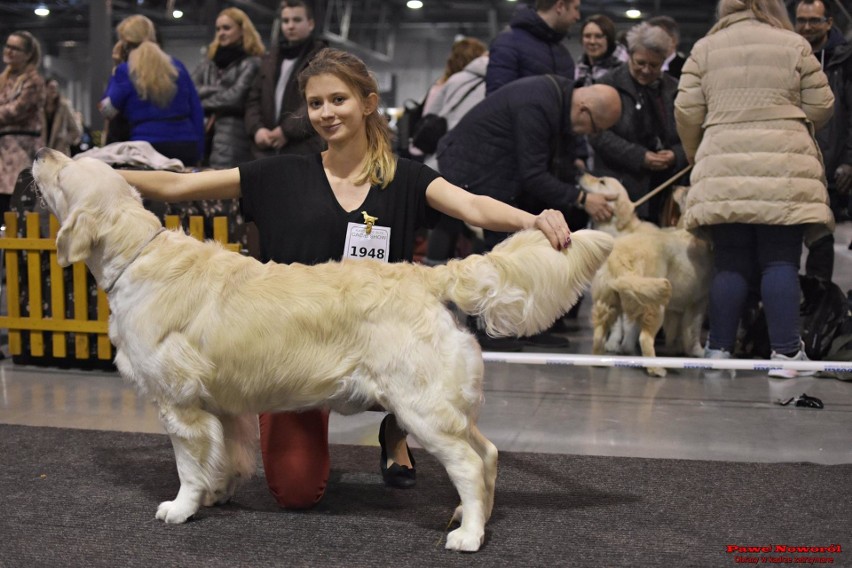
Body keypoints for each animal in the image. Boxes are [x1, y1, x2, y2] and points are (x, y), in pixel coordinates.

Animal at [31, 149, 612, 552]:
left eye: (64, 174)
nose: (39, 151)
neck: (137, 256)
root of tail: (429, 275)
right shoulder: (224, 403)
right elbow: (229, 455)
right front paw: (219, 493)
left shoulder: (180, 404)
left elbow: (189, 464)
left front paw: (181, 507)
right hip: (446, 401)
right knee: (488, 453)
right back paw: (472, 519)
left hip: (422, 406)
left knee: (470, 463)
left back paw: (467, 536)